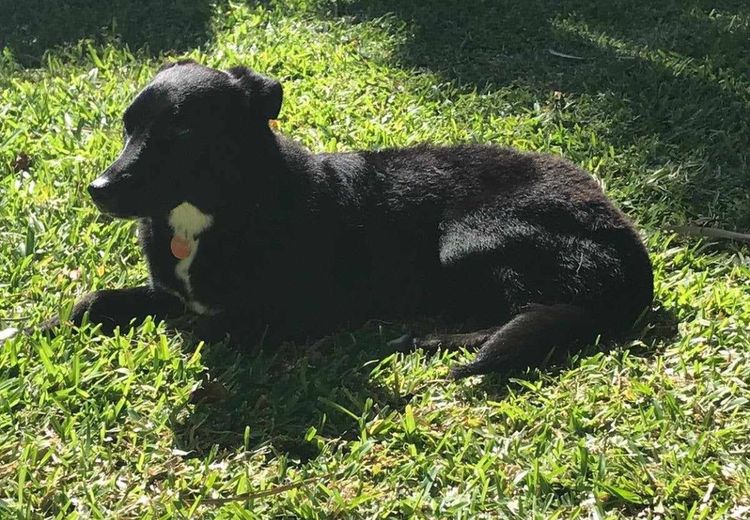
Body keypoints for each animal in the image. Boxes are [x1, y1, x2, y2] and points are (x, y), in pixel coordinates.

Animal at [47, 61, 652, 378]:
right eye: (128, 127)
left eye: (180, 134)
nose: (98, 191)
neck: (221, 211)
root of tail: (631, 248)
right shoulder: (168, 290)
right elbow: (94, 300)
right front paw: (59, 323)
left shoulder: (292, 312)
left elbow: (207, 328)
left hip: (467, 241)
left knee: (534, 311)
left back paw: (438, 339)